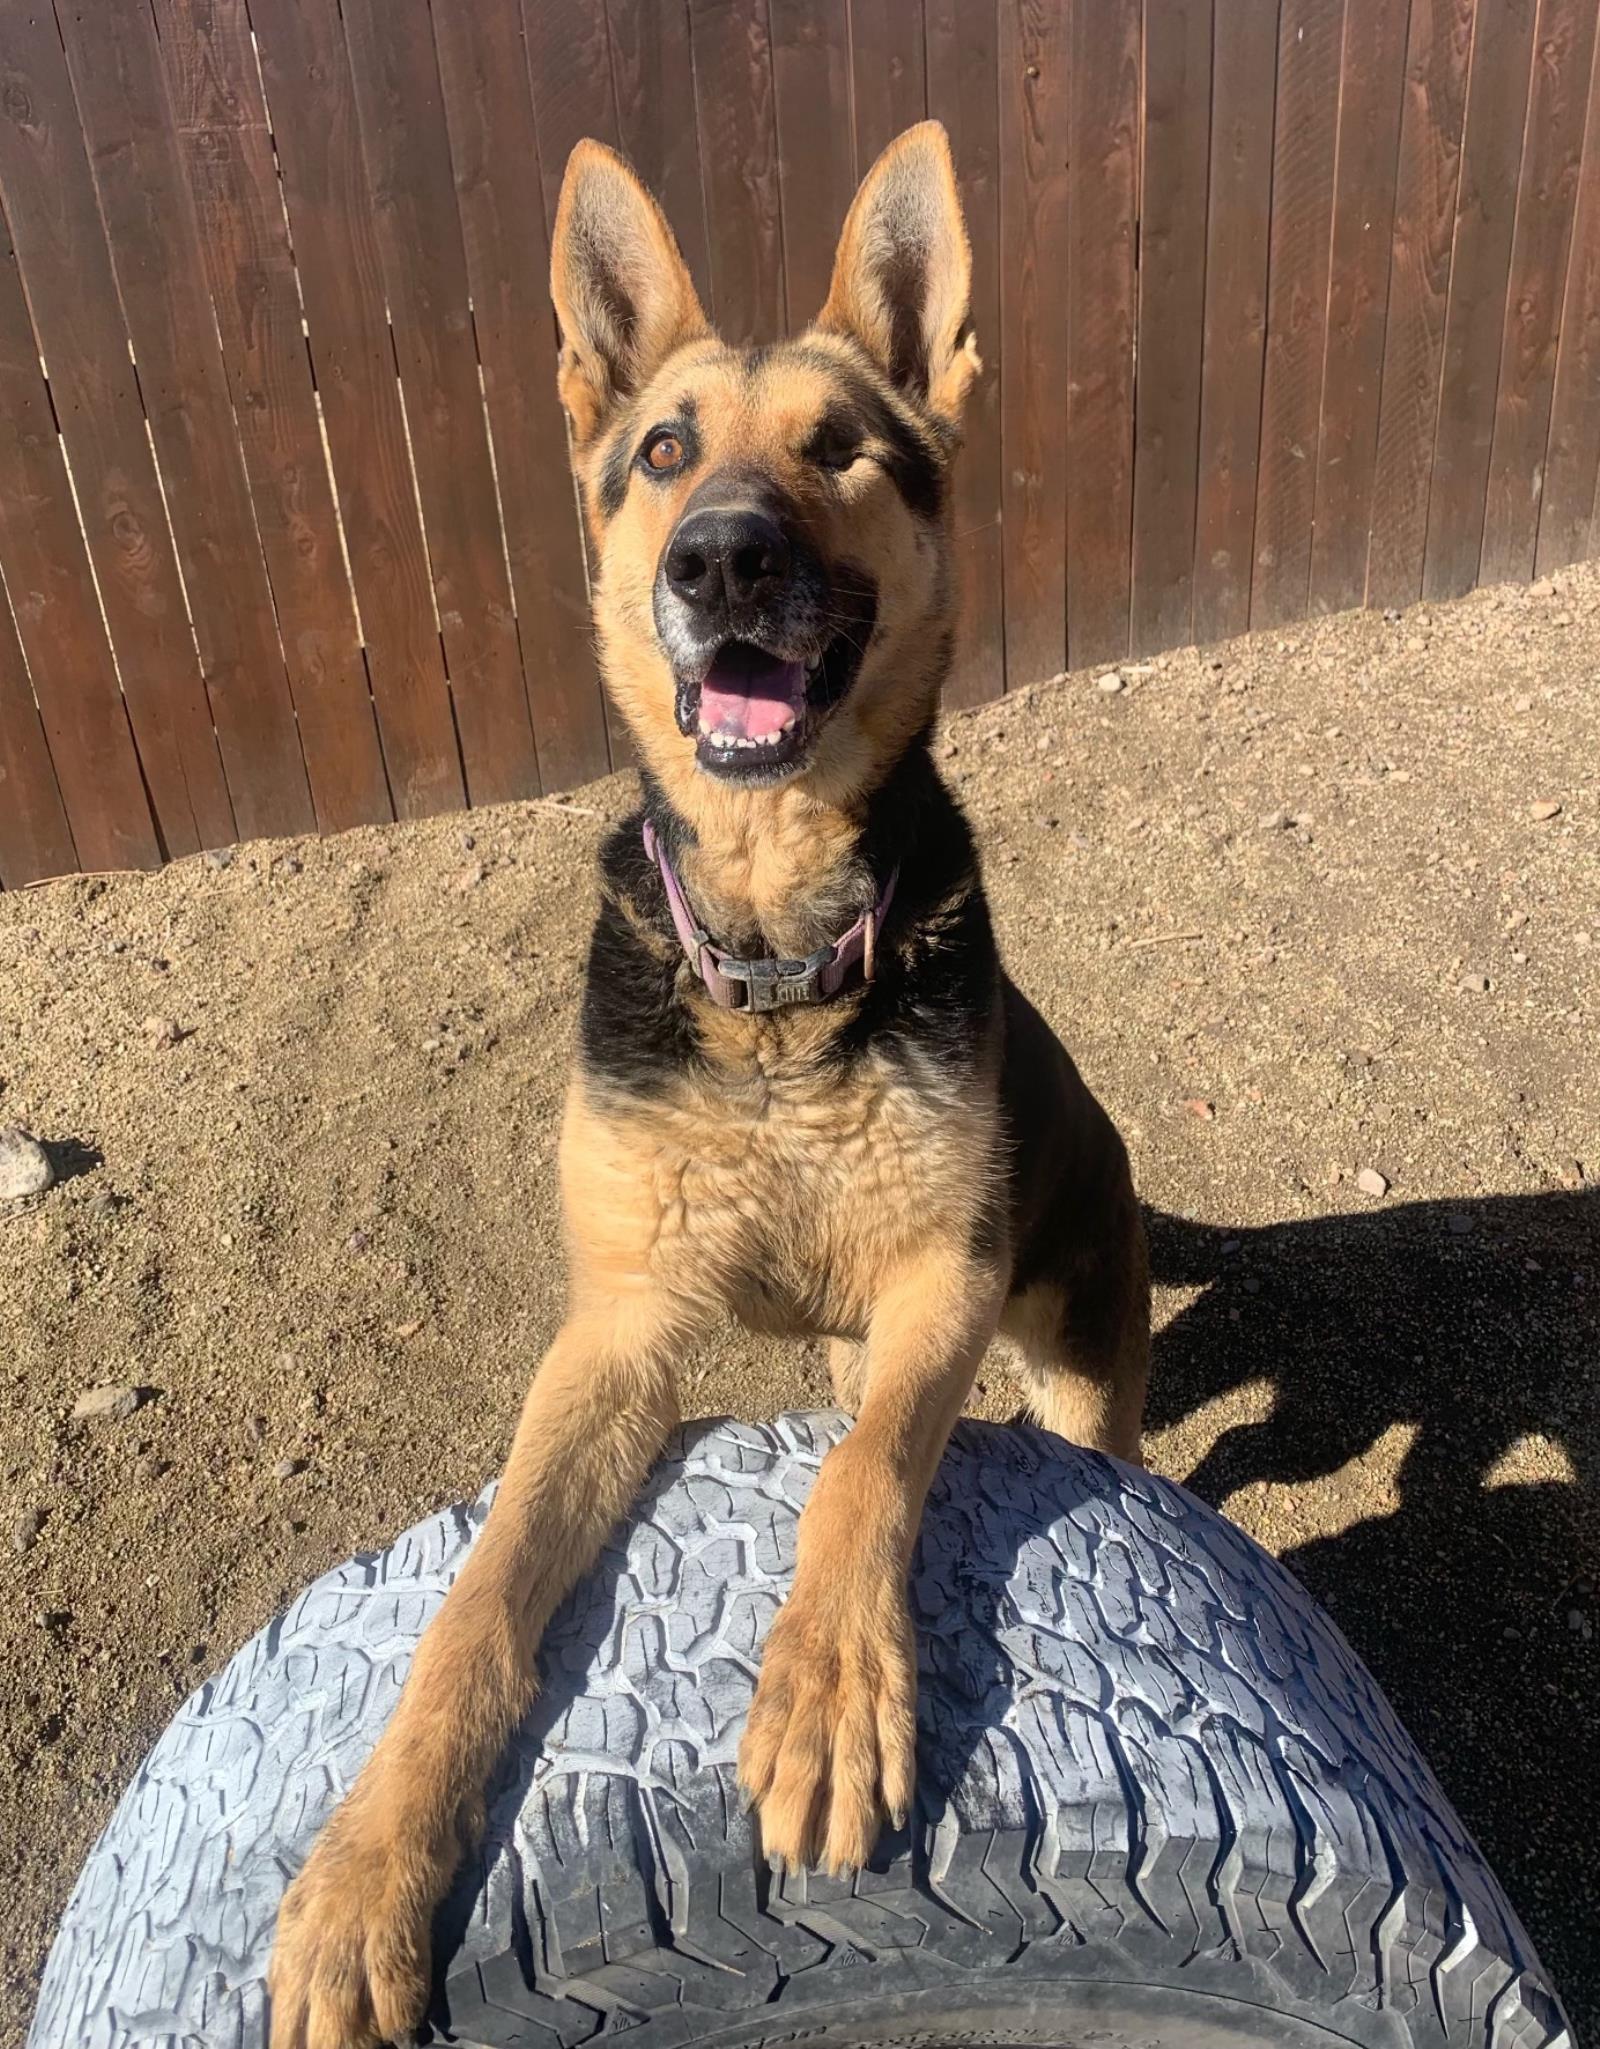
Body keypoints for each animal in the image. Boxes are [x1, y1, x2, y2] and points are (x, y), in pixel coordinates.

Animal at [268, 119, 1139, 2040]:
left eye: (838, 449)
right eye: (664, 453)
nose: (724, 559)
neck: (770, 961)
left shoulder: (942, 1277)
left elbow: (869, 1470)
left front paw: (824, 1689)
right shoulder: (618, 1328)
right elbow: (479, 1601)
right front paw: (365, 1867)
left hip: (1075, 1348)